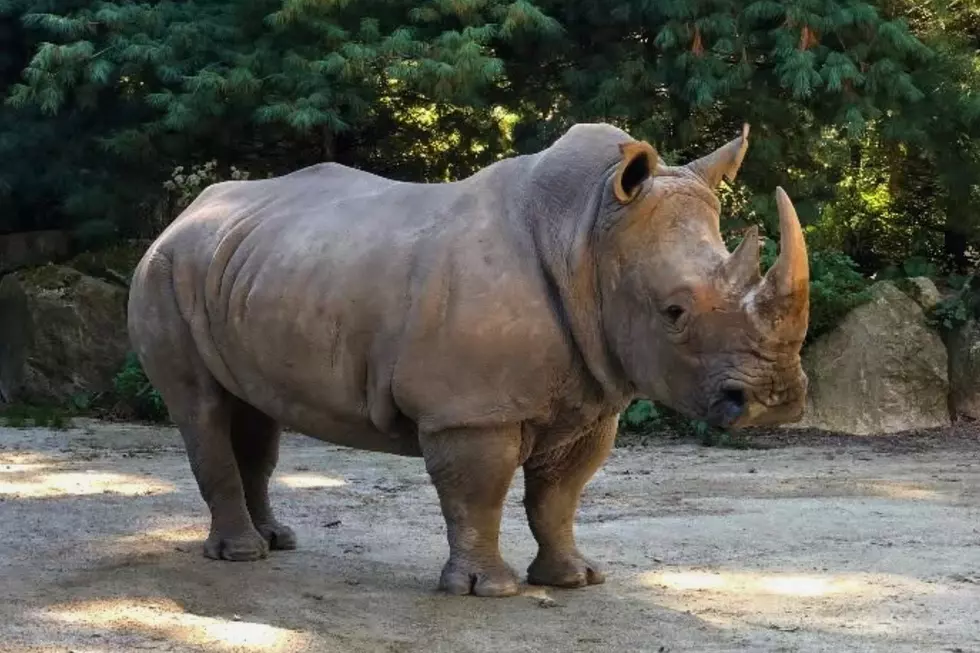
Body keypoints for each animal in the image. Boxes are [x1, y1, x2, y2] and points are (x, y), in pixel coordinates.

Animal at [128, 121, 809, 597]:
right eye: (674, 312)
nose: (774, 402)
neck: (588, 232)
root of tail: (184, 213)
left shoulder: (592, 397)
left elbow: (559, 496)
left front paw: (575, 579)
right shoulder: (471, 409)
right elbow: (478, 492)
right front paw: (489, 590)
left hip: (250, 265)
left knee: (255, 416)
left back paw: (278, 541)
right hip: (165, 271)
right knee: (202, 408)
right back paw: (243, 555)